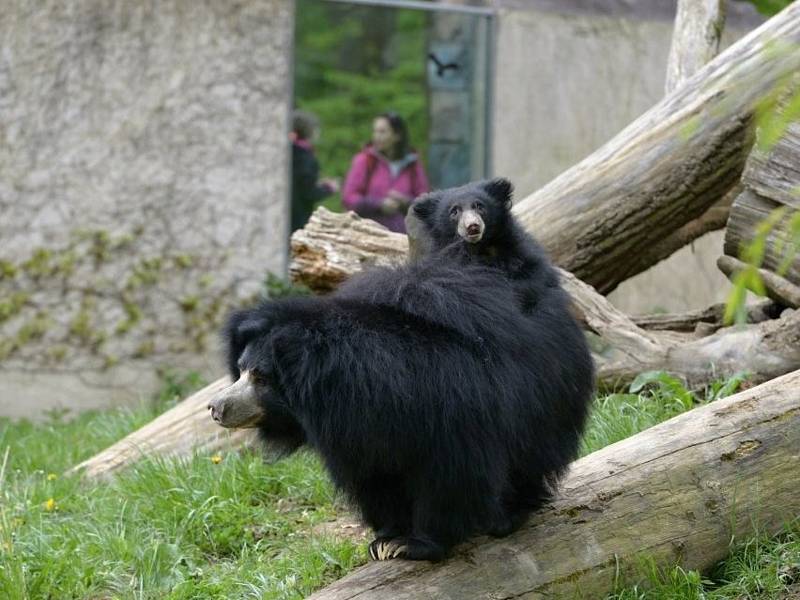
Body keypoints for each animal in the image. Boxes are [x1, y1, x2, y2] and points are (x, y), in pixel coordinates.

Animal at [208, 180, 592, 560]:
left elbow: (451, 474)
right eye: (240, 370)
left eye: (261, 378)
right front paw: (387, 538)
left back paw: (510, 513)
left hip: (542, 392)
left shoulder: (450, 409)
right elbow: (376, 477)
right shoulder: (359, 431)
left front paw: (418, 543)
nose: (216, 407)